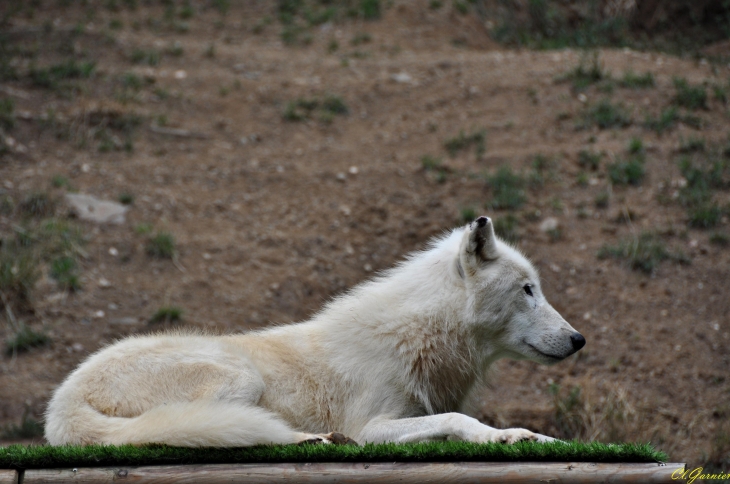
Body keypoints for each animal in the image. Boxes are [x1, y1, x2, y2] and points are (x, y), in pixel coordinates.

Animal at [45, 216, 584, 446]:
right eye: (528, 289)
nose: (579, 339)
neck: (418, 338)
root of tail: (61, 403)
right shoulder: (371, 427)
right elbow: (460, 420)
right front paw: (510, 436)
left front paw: (533, 437)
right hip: (241, 380)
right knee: (222, 430)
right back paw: (314, 439)